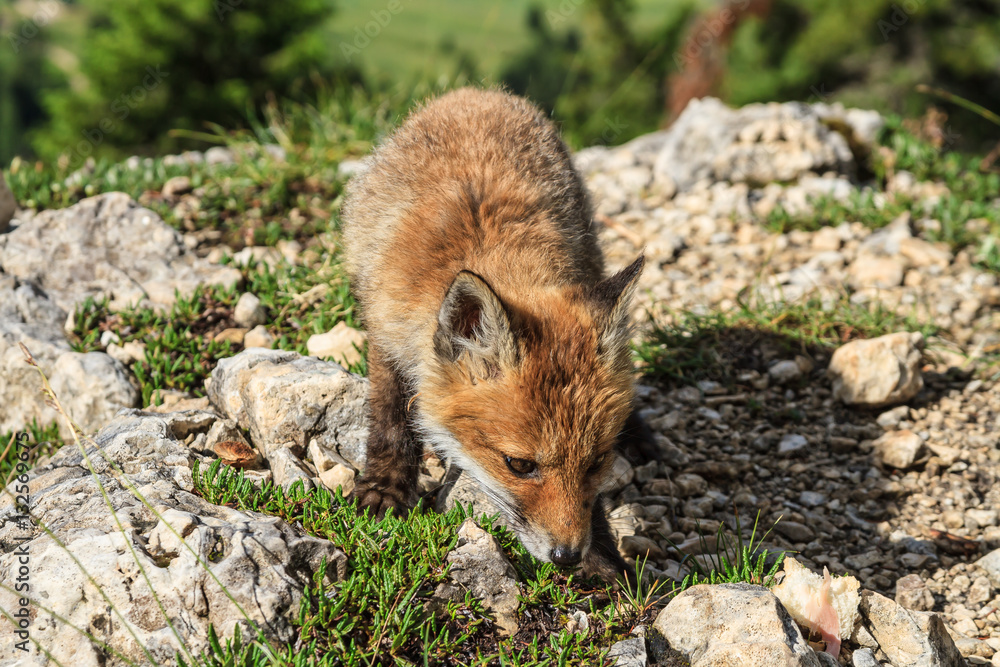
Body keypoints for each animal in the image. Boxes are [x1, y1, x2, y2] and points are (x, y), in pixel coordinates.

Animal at [341, 87, 655, 581]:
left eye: (596, 463)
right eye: (519, 465)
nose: (567, 556)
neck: (492, 251)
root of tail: (477, 92)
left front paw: (603, 556)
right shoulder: (385, 327)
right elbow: (390, 417)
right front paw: (385, 487)